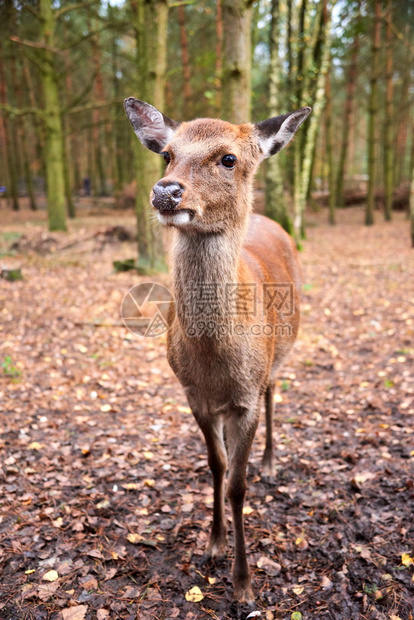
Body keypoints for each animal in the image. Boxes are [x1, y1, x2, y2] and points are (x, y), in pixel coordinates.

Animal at [124, 99, 312, 604]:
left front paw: (243, 582)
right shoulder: (193, 395)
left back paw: (270, 462)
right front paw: (213, 544)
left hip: (280, 356)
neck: (215, 362)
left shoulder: (244, 398)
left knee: (273, 393)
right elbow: (216, 467)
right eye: (167, 154)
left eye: (228, 158)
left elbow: (238, 485)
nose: (166, 192)